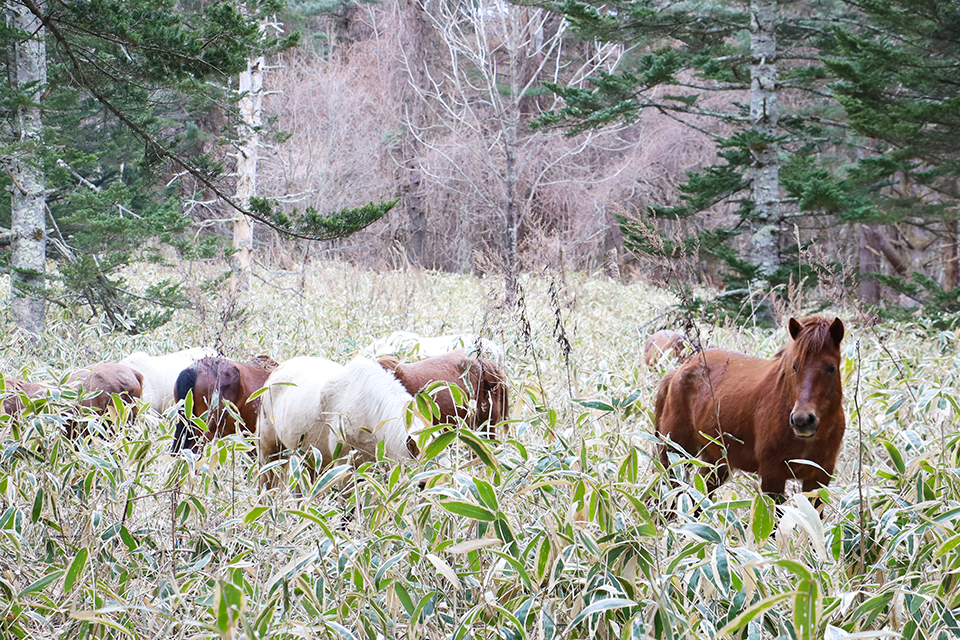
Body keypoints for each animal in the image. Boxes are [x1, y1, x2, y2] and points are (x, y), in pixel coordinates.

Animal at [652, 318, 848, 502]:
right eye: (794, 366)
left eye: (831, 367)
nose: (802, 421)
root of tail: (678, 372)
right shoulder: (772, 476)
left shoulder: (819, 477)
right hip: (675, 453)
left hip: (716, 461)